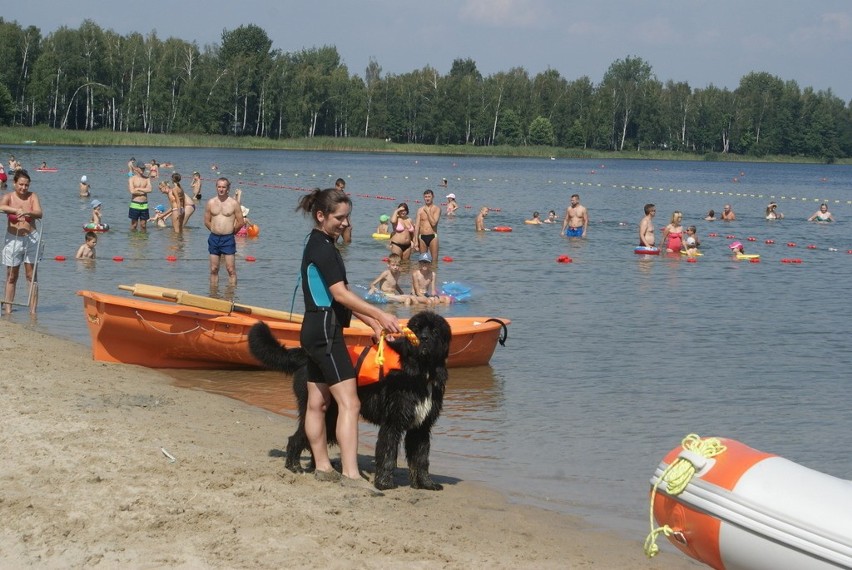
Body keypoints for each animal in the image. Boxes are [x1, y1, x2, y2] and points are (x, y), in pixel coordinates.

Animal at [246, 308, 452, 490]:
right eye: (417, 328)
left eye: (434, 331)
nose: (424, 338)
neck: (422, 371)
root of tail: (304, 355)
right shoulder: (392, 422)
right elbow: (387, 454)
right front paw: (384, 483)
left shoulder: (421, 426)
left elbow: (421, 458)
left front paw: (426, 484)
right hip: (319, 407)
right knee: (298, 437)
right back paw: (294, 466)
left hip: (331, 413)